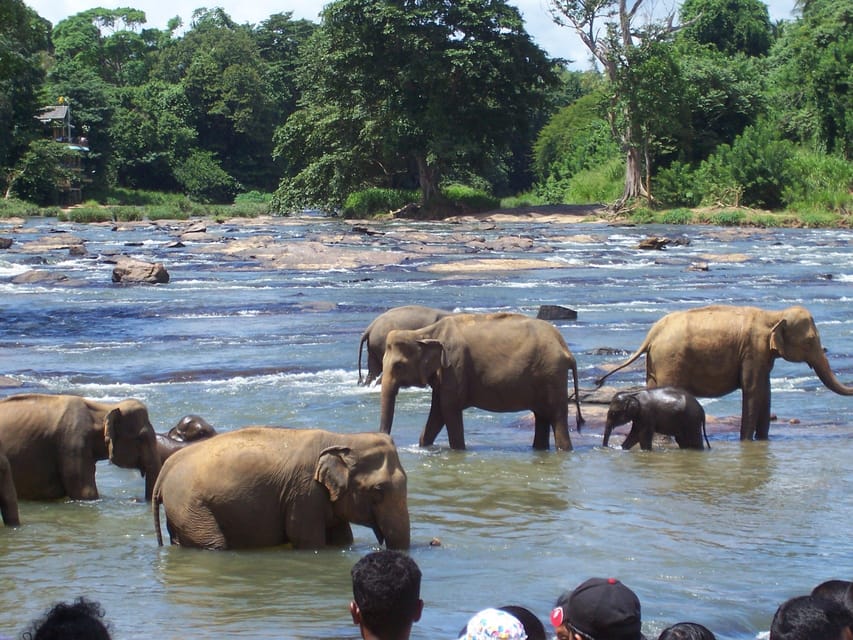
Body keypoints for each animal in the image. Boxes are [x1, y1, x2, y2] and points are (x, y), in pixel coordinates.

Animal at [152, 424, 410, 552]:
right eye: (378, 492)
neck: (343, 438)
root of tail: (165, 470)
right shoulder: (304, 493)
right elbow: (308, 540)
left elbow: (343, 539)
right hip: (190, 506)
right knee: (213, 544)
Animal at [378, 310, 584, 450]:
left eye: (398, 365)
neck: (424, 333)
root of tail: (565, 349)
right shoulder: (444, 375)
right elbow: (437, 412)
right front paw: (424, 446)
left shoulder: (455, 367)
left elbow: (448, 409)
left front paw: (458, 451)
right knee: (541, 416)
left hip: (552, 375)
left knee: (557, 417)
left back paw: (564, 450)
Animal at [592, 304, 852, 440]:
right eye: (810, 341)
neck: (773, 315)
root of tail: (651, 334)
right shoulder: (753, 351)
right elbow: (753, 390)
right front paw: (746, 442)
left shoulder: (761, 356)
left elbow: (765, 392)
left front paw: (763, 441)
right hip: (670, 360)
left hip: (655, 363)